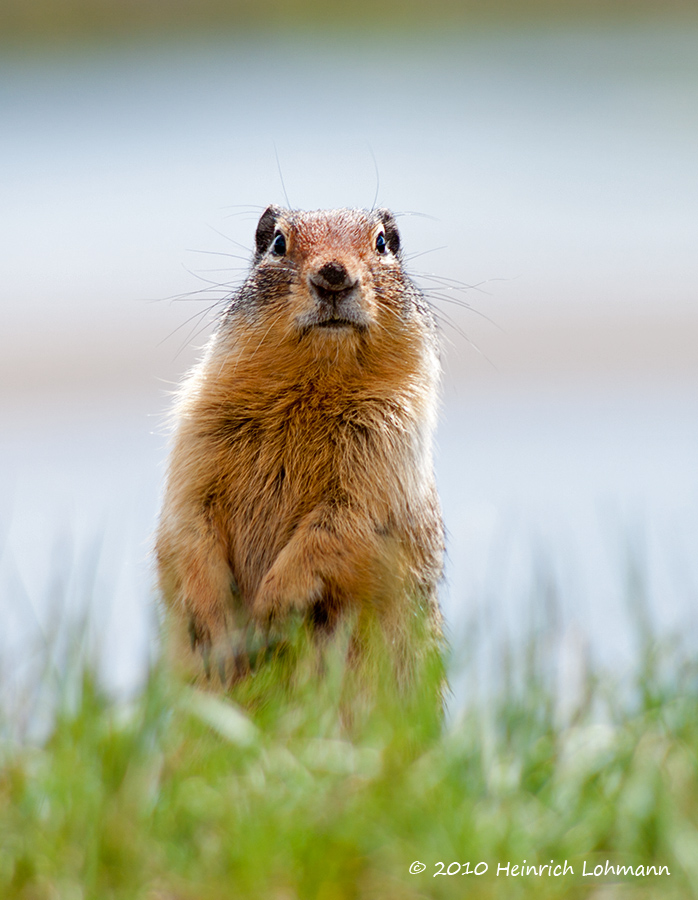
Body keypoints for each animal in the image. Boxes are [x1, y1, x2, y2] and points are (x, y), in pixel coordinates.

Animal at [155, 204, 444, 684]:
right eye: (278, 242)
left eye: (382, 242)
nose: (333, 274)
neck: (313, 387)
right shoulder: (197, 436)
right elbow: (187, 523)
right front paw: (216, 628)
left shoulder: (387, 453)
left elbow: (340, 528)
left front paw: (270, 614)